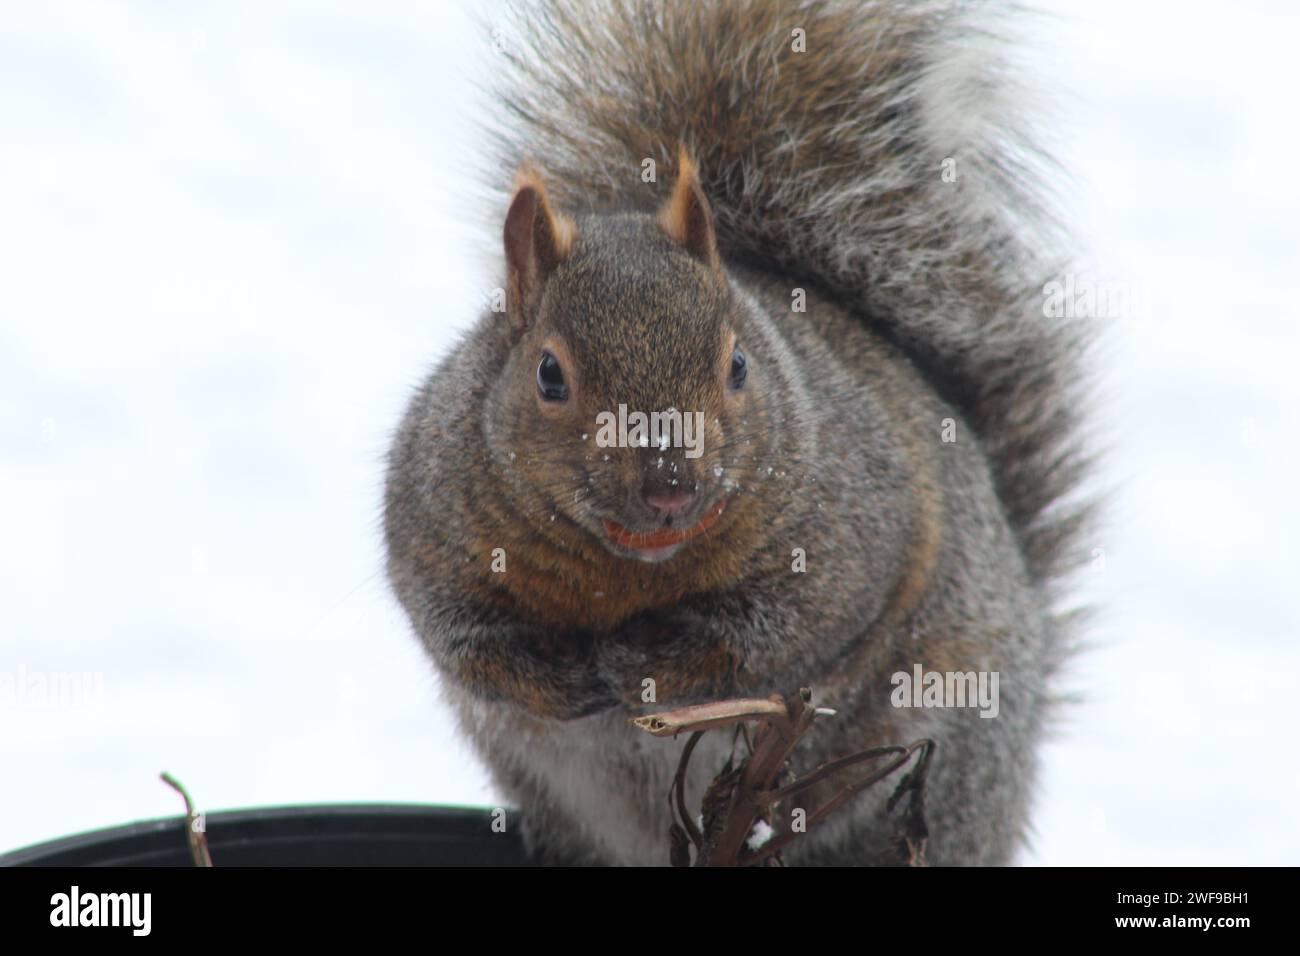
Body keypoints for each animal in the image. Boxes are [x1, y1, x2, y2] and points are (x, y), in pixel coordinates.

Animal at [379, 0, 1092, 868]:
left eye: (739, 365)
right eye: (549, 375)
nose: (669, 487)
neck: (625, 572)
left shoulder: (856, 533)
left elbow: (775, 636)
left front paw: (645, 663)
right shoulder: (431, 525)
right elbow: (460, 637)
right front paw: (561, 676)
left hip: (946, 765)